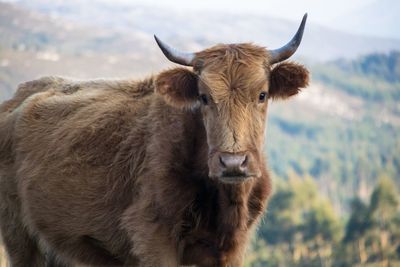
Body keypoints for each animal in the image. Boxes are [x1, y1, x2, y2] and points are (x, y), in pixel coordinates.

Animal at [0, 14, 310, 267]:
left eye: (262, 94)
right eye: (204, 97)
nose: (233, 162)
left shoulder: (231, 250)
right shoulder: (153, 238)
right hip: (19, 235)